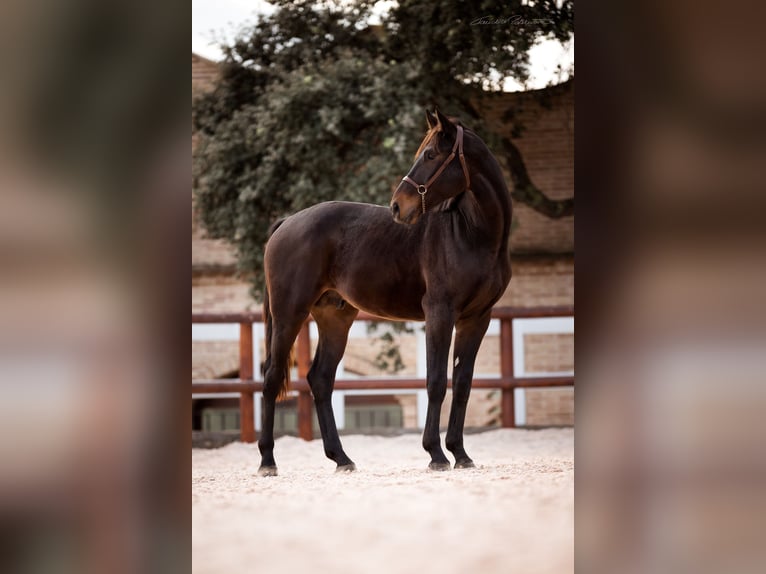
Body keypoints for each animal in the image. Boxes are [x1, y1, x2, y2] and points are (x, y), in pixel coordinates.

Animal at [260, 109, 516, 476]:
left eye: (430, 155)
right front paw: (436, 454)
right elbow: (436, 382)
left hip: (334, 318)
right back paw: (267, 461)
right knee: (271, 377)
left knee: (320, 379)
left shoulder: (477, 318)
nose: (397, 206)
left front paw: (461, 454)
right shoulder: (440, 312)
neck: (472, 234)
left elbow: (462, 383)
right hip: (288, 314)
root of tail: (287, 222)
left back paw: (342, 459)